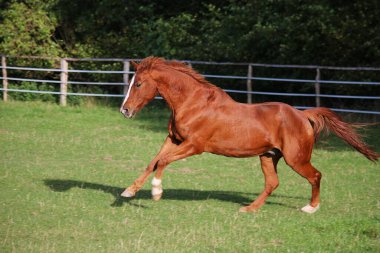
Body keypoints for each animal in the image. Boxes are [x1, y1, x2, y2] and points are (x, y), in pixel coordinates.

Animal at [118, 56, 378, 212]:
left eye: (138, 84)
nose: (124, 110)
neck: (193, 103)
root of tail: (303, 115)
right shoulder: (174, 139)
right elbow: (153, 161)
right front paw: (128, 192)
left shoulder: (194, 145)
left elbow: (162, 161)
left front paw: (156, 193)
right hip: (268, 156)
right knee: (273, 182)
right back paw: (249, 208)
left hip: (296, 158)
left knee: (315, 175)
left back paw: (310, 207)